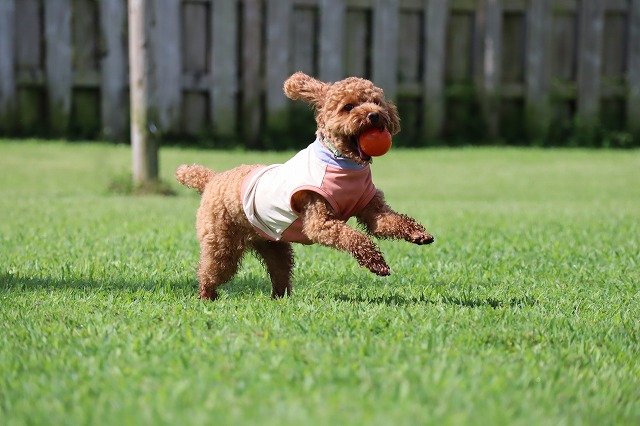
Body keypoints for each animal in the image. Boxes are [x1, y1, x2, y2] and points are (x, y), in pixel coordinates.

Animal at [176, 72, 434, 300]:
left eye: (376, 102)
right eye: (348, 107)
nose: (374, 115)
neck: (342, 163)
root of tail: (213, 178)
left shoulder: (372, 210)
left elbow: (390, 222)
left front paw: (419, 234)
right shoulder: (320, 222)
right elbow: (354, 237)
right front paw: (377, 264)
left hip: (271, 243)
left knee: (279, 271)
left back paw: (281, 298)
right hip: (221, 242)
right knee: (211, 271)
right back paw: (207, 296)